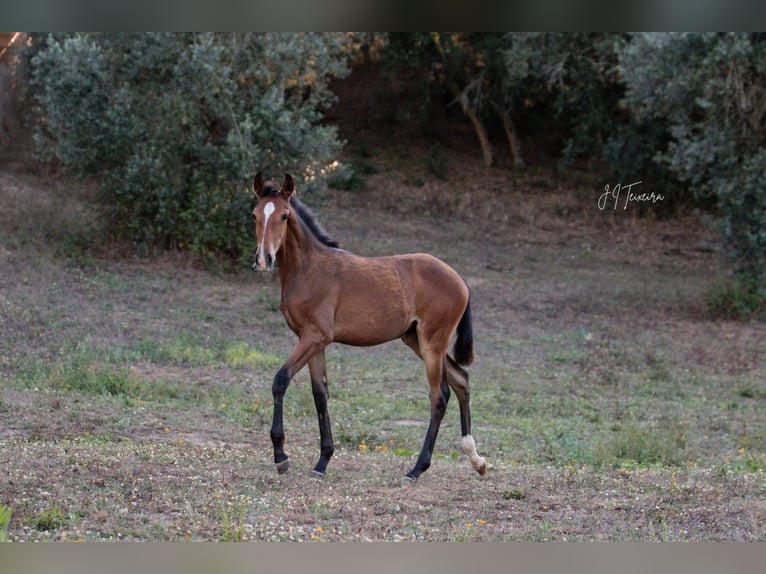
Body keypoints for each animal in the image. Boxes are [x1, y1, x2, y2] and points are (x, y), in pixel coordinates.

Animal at [255, 172, 488, 482]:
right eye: (255, 214)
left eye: (283, 215)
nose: (263, 259)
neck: (309, 268)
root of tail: (461, 280)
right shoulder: (313, 340)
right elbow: (320, 394)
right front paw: (322, 461)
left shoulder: (314, 337)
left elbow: (280, 380)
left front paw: (281, 456)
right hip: (414, 339)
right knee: (461, 380)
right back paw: (477, 460)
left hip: (432, 342)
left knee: (439, 396)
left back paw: (417, 469)